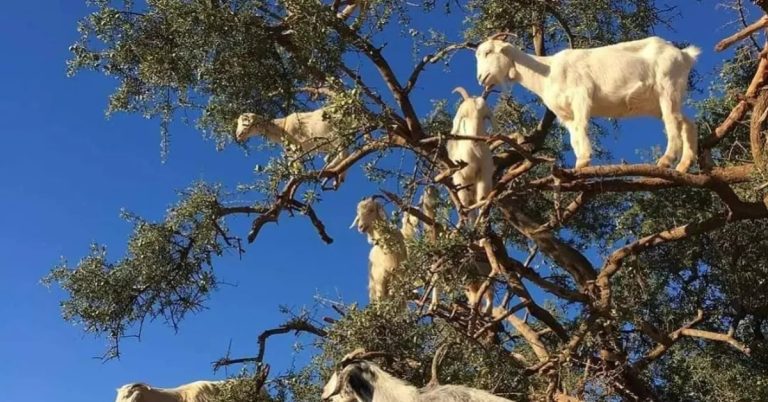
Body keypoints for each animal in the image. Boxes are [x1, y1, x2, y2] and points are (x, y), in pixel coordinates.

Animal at [475, 34, 701, 172]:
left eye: (488, 52)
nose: (480, 78)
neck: (547, 71)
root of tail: (684, 55)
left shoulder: (581, 96)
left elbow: (582, 127)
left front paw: (584, 159)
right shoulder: (565, 114)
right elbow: (573, 136)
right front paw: (579, 165)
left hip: (667, 87)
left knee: (672, 122)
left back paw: (667, 160)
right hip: (657, 102)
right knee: (687, 122)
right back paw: (684, 165)